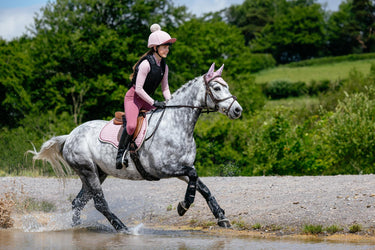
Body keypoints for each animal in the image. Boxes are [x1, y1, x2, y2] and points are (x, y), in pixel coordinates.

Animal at [27, 63, 242, 232]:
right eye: (216, 88)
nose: (237, 110)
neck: (176, 125)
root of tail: (70, 136)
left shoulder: (181, 168)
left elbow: (202, 186)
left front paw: (221, 217)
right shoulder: (164, 169)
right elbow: (194, 177)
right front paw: (183, 206)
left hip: (97, 173)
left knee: (78, 202)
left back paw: (76, 227)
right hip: (87, 170)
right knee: (99, 203)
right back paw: (123, 228)